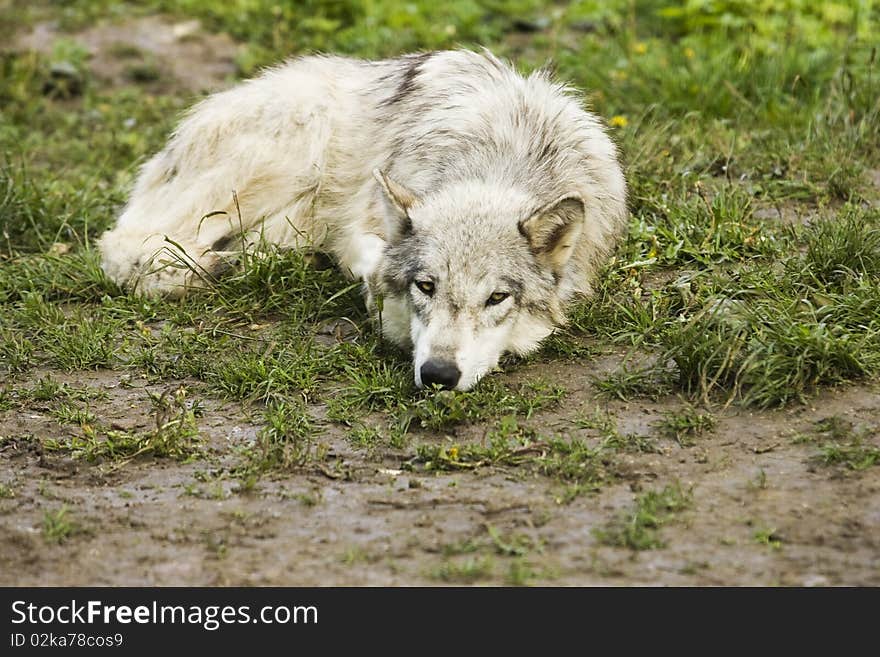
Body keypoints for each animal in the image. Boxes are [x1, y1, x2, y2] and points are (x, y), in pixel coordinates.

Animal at [99, 51, 628, 392]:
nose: (438, 375)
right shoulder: (363, 221)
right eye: (425, 287)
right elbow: (369, 260)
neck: (498, 162)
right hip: (295, 148)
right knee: (128, 245)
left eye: (496, 298)